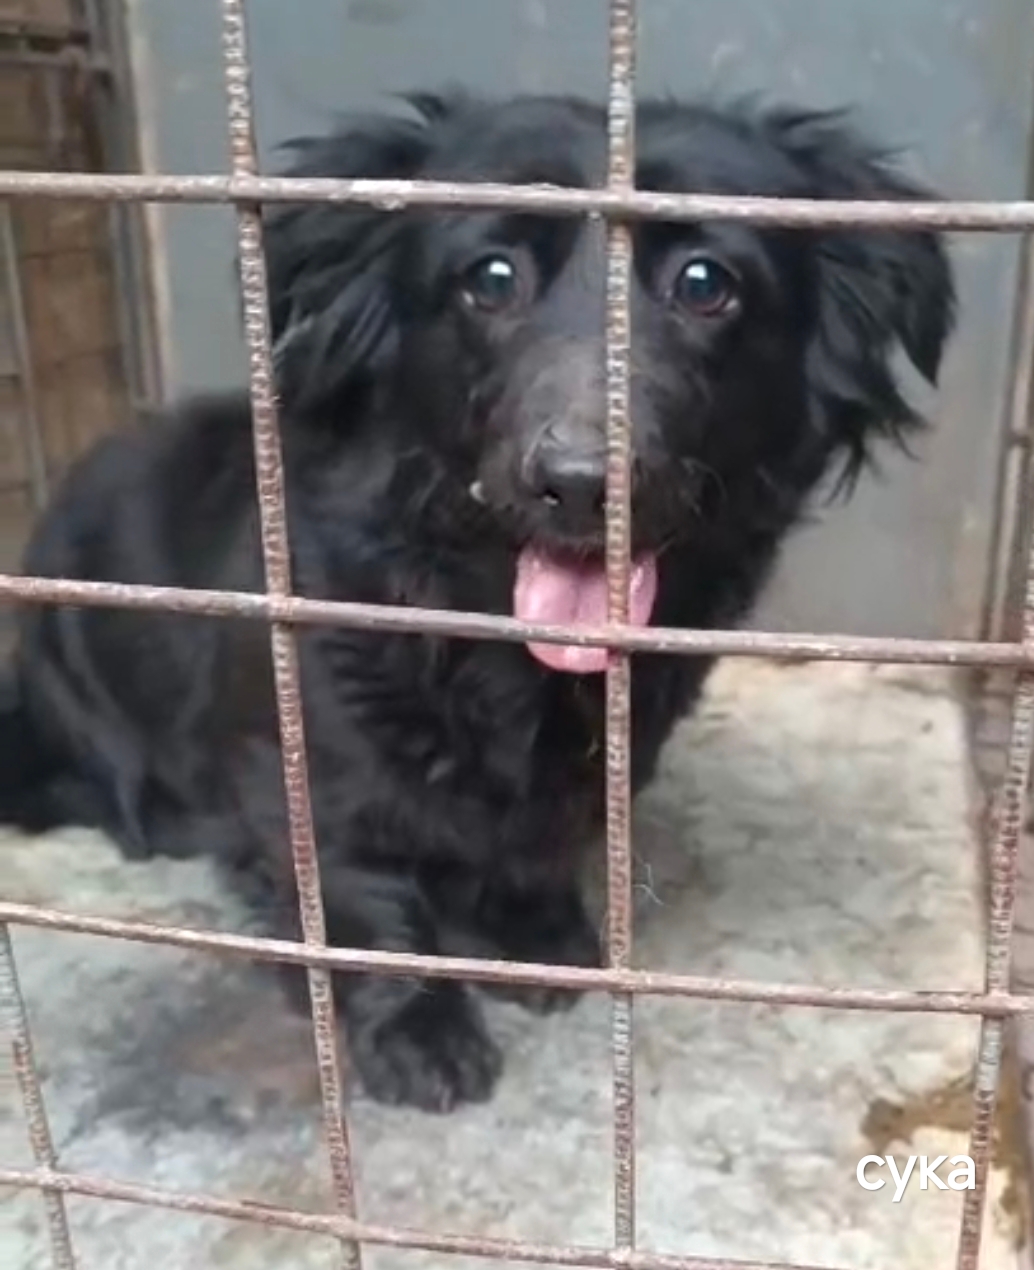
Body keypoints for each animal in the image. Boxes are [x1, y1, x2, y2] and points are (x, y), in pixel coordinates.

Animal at [0, 91, 956, 1111]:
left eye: (706, 283)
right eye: (490, 278)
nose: (579, 484)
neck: (495, 641)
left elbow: (533, 844)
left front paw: (530, 933)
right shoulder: (302, 765)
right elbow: (363, 883)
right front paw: (417, 1024)